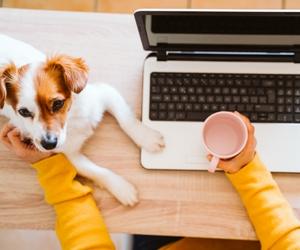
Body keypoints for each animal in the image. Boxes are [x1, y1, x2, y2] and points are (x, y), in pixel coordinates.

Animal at [0, 34, 165, 207]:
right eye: (23, 112)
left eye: (58, 103)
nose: (48, 144)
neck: (72, 120)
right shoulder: (69, 155)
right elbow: (96, 171)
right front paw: (122, 189)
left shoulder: (105, 94)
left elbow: (126, 120)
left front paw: (147, 138)